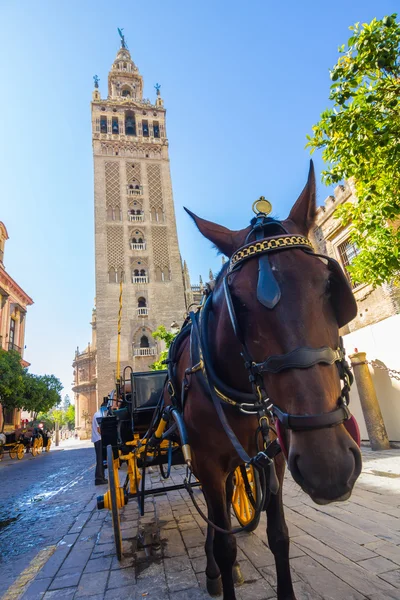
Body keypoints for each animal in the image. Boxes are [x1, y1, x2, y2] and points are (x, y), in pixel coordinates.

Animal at [166, 162, 362, 596]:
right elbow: (226, 544)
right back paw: (213, 571)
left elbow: (279, 536)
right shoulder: (206, 462)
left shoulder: (277, 458)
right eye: (236, 303)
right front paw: (221, 567)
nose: (330, 467)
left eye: (330, 285)